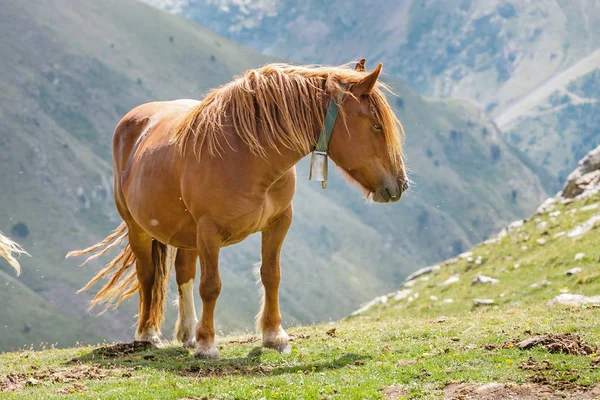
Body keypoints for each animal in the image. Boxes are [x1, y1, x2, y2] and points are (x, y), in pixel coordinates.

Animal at [68, 58, 410, 360]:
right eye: (376, 126)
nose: (400, 184)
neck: (250, 154)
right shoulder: (209, 232)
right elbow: (211, 286)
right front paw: (208, 346)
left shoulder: (279, 222)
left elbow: (271, 275)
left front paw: (274, 336)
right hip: (139, 229)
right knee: (148, 276)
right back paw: (148, 334)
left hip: (186, 235)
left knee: (183, 274)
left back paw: (188, 333)